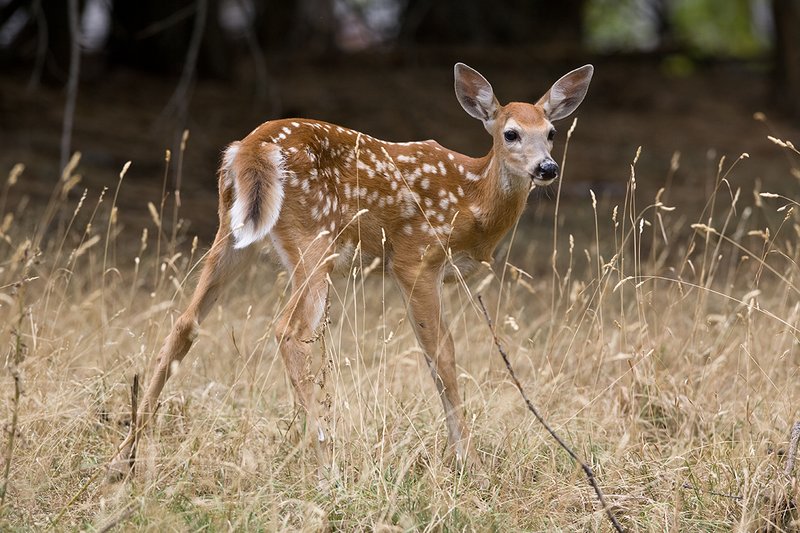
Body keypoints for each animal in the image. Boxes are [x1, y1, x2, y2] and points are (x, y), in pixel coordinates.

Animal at [107, 62, 593, 482]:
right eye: (511, 133)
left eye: (551, 133)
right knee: (289, 330)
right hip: (314, 238)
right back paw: (327, 460)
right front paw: (470, 465)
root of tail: (248, 148)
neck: (470, 203)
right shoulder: (415, 258)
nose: (547, 168)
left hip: (233, 234)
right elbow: (443, 356)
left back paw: (123, 458)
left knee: (185, 322)